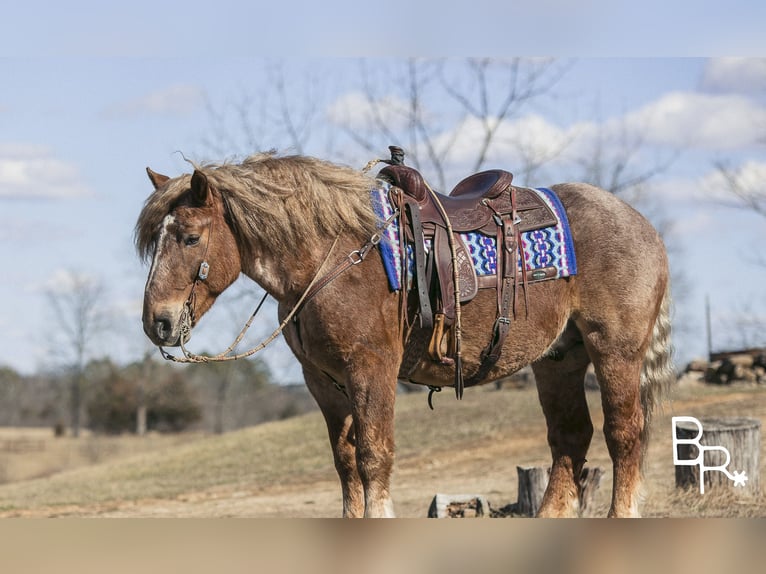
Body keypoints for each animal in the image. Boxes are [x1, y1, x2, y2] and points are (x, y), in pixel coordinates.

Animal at [135, 153, 676, 520]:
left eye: (189, 237)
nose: (156, 322)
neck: (333, 255)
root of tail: (642, 224)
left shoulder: (371, 369)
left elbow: (374, 456)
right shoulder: (323, 383)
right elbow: (345, 463)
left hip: (615, 350)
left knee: (624, 433)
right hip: (559, 358)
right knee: (569, 438)